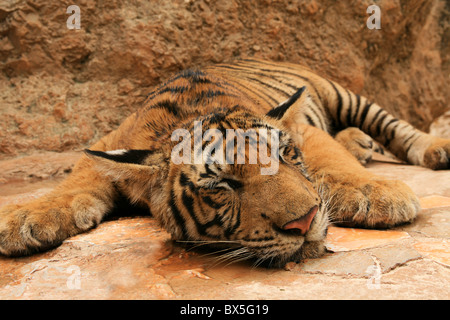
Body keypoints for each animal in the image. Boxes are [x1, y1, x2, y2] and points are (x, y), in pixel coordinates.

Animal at [0, 58, 450, 268]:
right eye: (223, 186)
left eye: (285, 155)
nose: (305, 223)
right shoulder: (108, 142)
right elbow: (73, 183)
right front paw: (23, 218)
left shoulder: (306, 131)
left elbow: (331, 160)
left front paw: (377, 192)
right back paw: (360, 143)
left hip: (341, 94)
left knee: (397, 128)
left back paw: (434, 148)